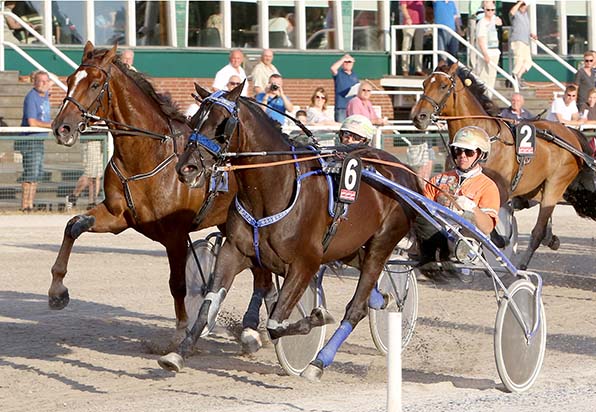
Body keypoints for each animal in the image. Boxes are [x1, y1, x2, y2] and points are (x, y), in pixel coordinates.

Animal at [51, 41, 272, 344]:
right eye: (70, 79)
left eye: (95, 84)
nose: (62, 128)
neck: (148, 155)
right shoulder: (117, 216)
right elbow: (73, 226)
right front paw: (57, 290)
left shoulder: (175, 234)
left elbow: (177, 284)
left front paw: (181, 329)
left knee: (263, 274)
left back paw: (252, 329)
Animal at [157, 81, 420, 380]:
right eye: (193, 120)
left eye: (222, 124)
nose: (186, 168)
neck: (272, 189)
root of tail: (406, 172)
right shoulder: (234, 252)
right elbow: (208, 304)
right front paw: (178, 353)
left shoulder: (306, 262)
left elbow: (276, 321)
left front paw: (316, 318)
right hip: (349, 245)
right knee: (364, 283)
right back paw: (379, 297)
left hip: (382, 241)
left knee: (356, 306)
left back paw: (319, 362)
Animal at [410, 60, 596, 268]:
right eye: (424, 84)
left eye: (443, 86)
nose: (419, 116)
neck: (482, 139)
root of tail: (572, 134)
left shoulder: (501, 191)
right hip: (536, 188)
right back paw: (550, 238)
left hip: (555, 184)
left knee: (538, 229)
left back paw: (523, 263)